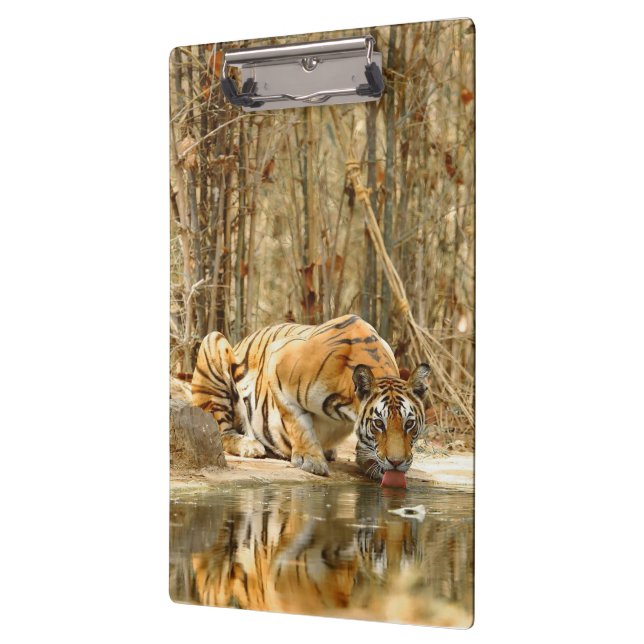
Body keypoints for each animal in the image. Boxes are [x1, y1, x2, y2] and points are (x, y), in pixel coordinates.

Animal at [191, 314, 430, 479]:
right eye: (379, 424)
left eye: (409, 424)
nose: (396, 463)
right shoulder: (277, 362)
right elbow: (298, 423)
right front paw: (310, 460)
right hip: (213, 343)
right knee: (219, 432)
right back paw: (249, 446)